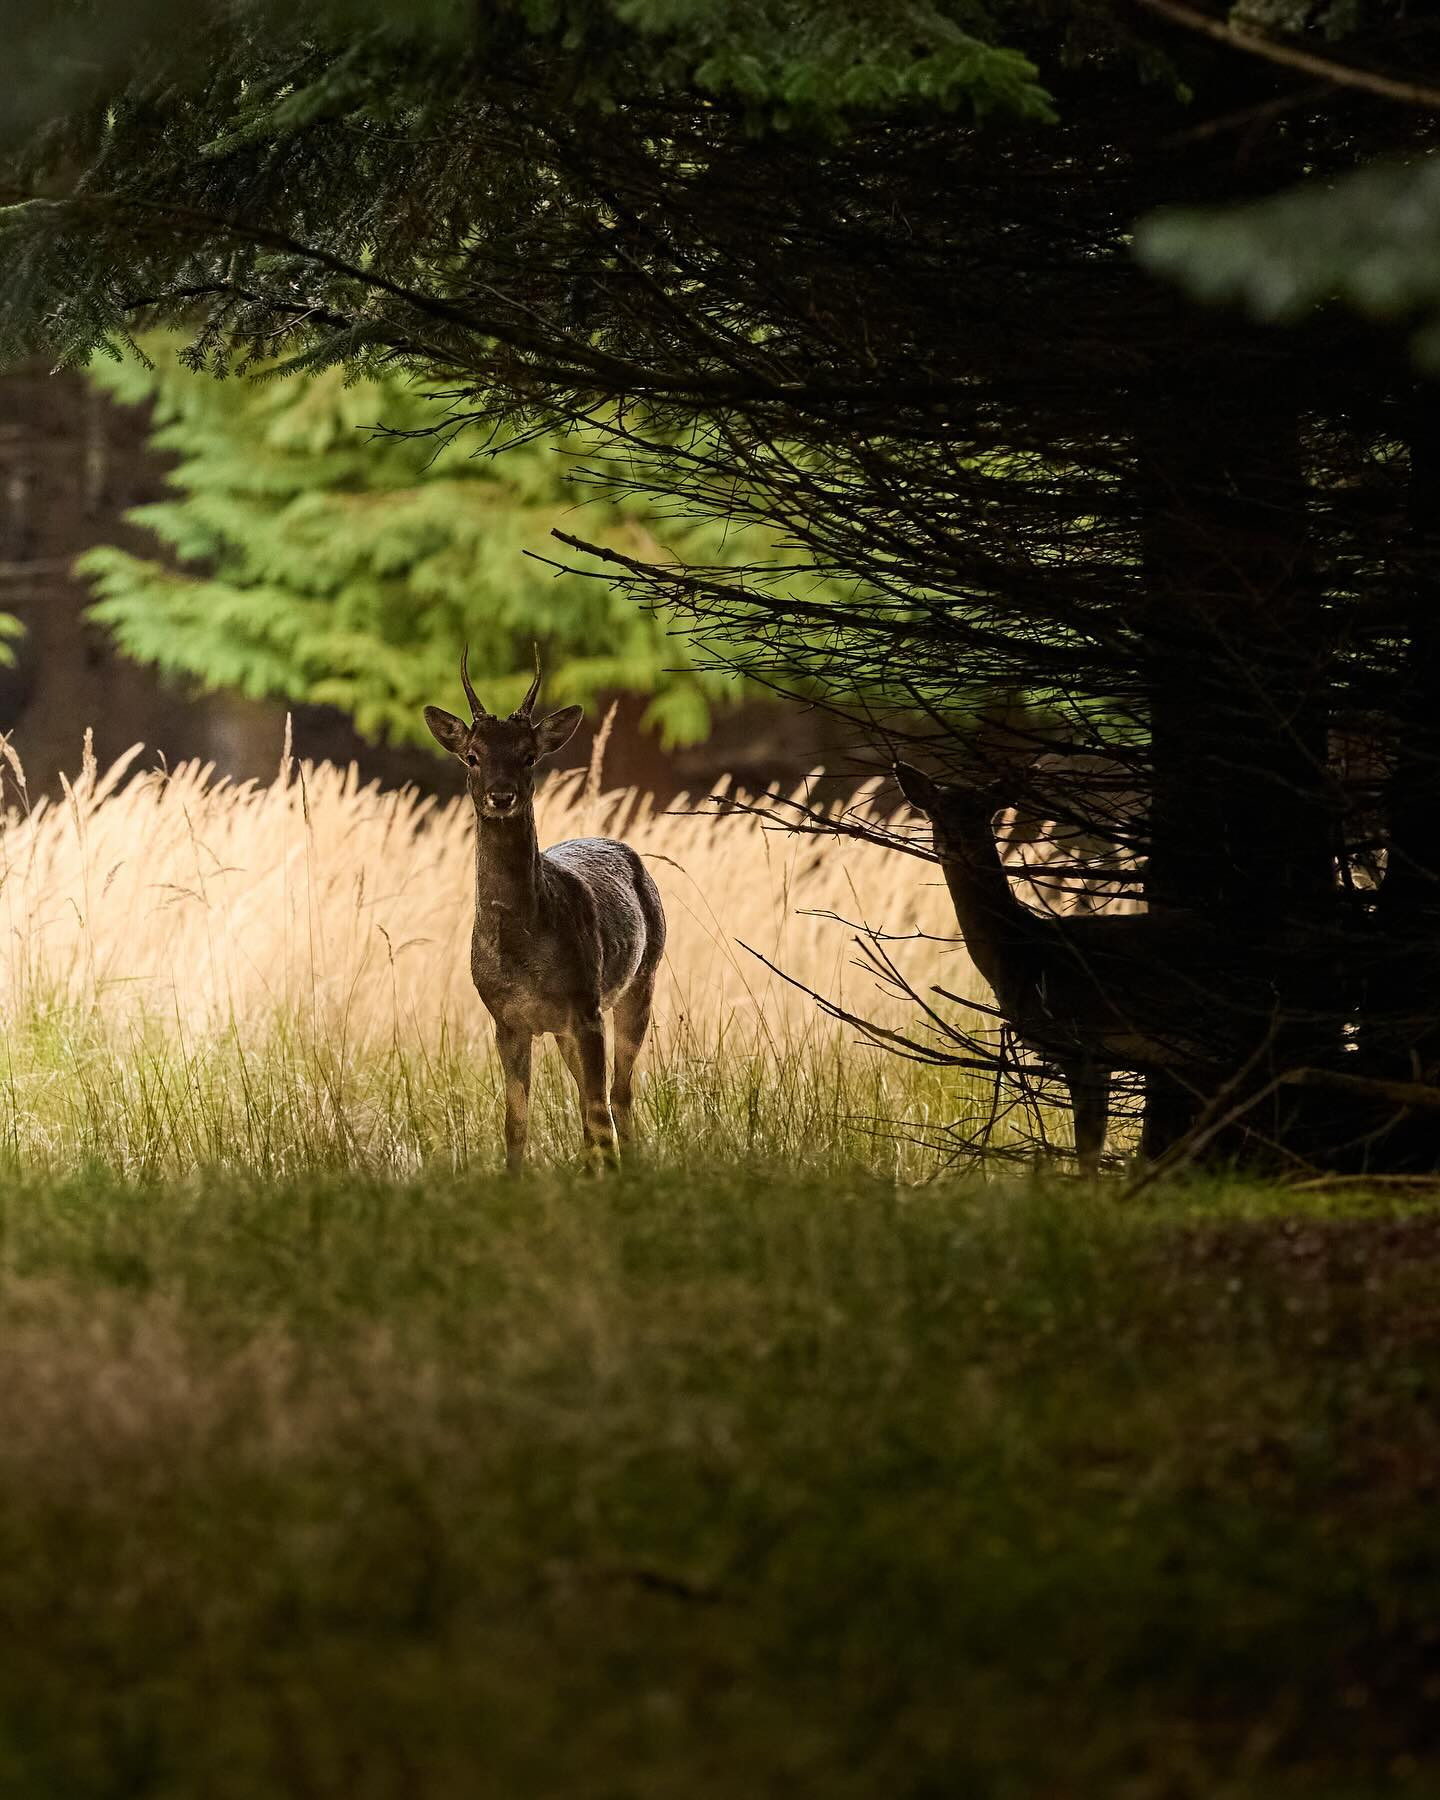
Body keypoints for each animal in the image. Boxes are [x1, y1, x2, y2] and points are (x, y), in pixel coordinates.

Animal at [424, 648, 666, 1174]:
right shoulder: (507, 1021)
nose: (501, 795)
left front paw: (609, 1178)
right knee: (596, 1098)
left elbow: (596, 1108)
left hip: (641, 977)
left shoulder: (585, 1006)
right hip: (565, 1027)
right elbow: (515, 1121)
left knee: (617, 1095)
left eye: (529, 755)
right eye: (472, 756)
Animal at [894, 760, 1228, 1173]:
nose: (955, 842)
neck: (1023, 951)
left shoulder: (1079, 1041)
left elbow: (1087, 1145)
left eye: (984, 812)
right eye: (937, 811)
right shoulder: (1099, 1054)